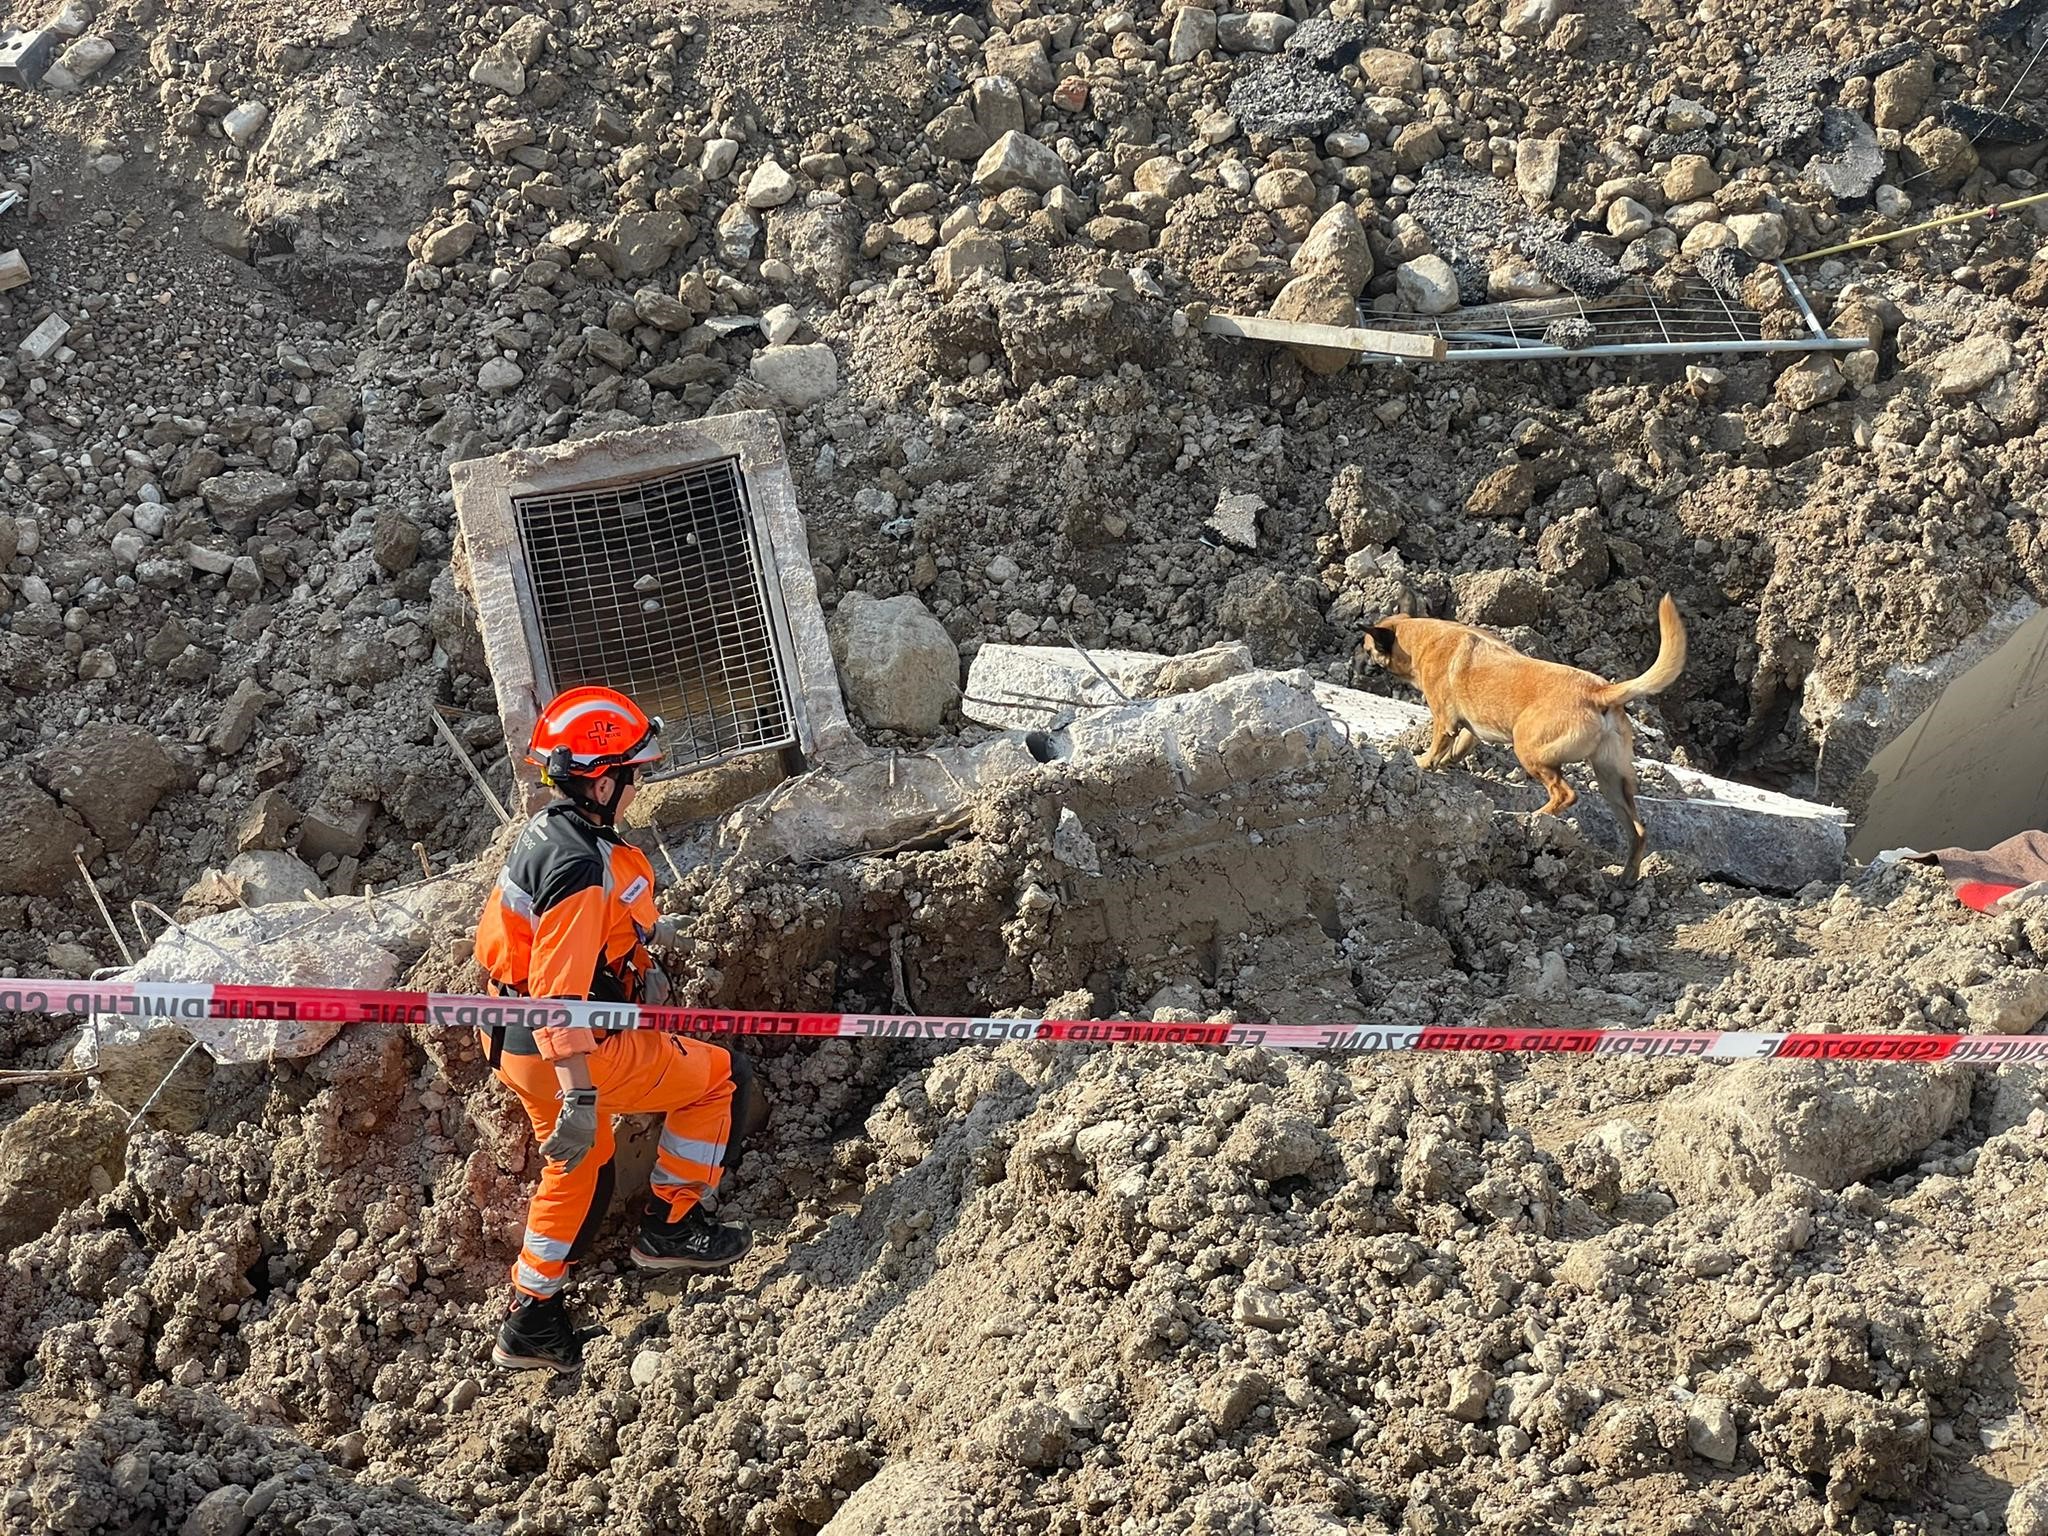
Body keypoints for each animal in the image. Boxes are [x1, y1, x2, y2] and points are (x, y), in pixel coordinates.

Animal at [1368, 606, 1687, 888]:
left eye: (1368, 648)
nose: (1363, 661)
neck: (1423, 635)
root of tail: (1600, 691)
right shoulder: (1472, 728)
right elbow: (1460, 746)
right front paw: (1446, 762)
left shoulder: (1444, 719)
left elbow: (1437, 746)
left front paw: (1422, 763)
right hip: (1612, 780)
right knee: (1638, 830)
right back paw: (1627, 877)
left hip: (1528, 749)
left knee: (1565, 794)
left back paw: (1534, 818)